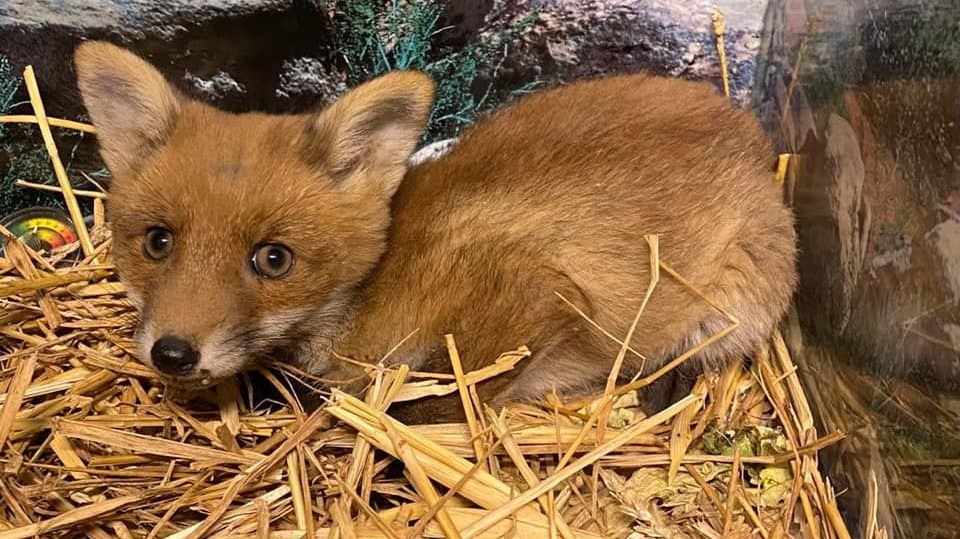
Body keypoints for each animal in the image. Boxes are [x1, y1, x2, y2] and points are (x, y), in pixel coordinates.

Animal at [73, 41, 798, 422]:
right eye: (158, 242)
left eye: (273, 259)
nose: (172, 353)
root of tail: (750, 129)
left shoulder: (533, 290)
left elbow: (432, 404)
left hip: (730, 312)